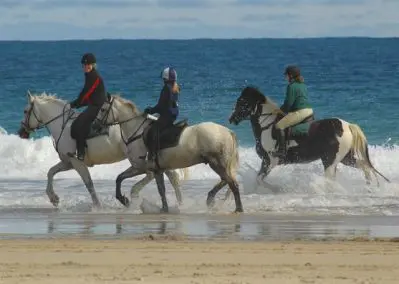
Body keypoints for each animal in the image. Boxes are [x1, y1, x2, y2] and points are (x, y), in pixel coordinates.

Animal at [17, 92, 189, 207]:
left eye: (25, 111)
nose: (21, 131)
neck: (62, 126)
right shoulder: (68, 162)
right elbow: (50, 172)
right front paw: (53, 198)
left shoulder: (76, 162)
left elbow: (88, 183)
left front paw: (97, 206)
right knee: (170, 176)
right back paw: (179, 203)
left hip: (139, 159)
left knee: (154, 174)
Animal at [96, 95, 244, 213]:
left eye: (102, 109)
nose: (95, 126)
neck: (137, 133)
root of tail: (228, 131)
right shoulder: (155, 170)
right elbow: (120, 178)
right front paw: (125, 200)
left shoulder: (142, 168)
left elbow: (158, 189)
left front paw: (126, 200)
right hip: (219, 164)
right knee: (227, 180)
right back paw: (211, 198)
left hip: (217, 164)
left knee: (232, 183)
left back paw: (237, 208)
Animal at [228, 85, 390, 185]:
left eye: (241, 102)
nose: (231, 119)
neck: (266, 126)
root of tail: (347, 125)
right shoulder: (266, 162)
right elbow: (258, 180)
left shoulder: (270, 161)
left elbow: (259, 180)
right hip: (345, 158)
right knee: (365, 167)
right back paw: (369, 187)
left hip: (330, 161)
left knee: (332, 179)